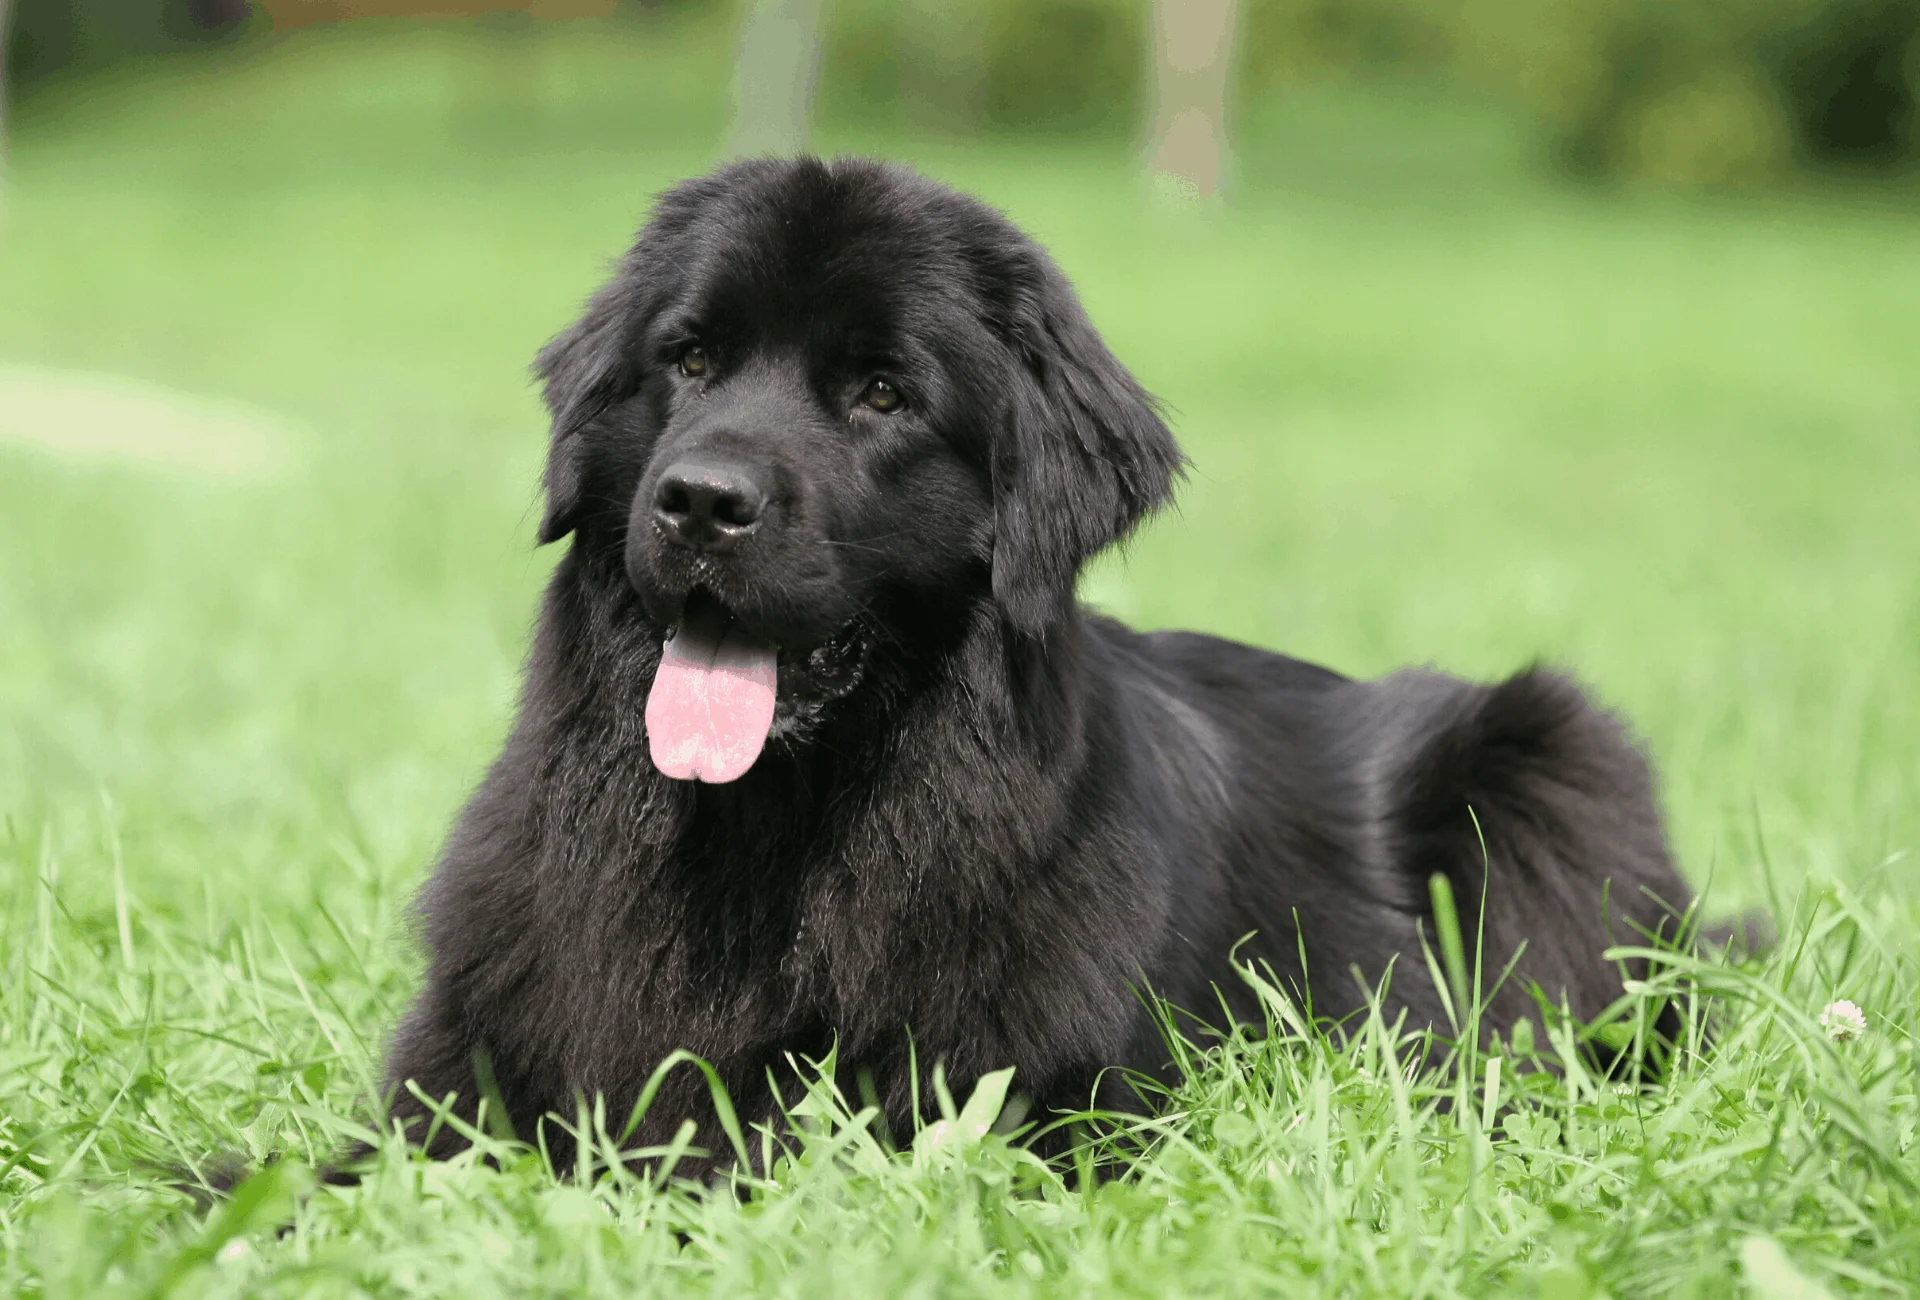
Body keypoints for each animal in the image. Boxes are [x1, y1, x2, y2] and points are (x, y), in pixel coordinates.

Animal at [378, 157, 1697, 1167]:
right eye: (689, 360)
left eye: (882, 393)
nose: (702, 500)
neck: (766, 837)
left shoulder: (1040, 1098)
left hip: (1547, 749)